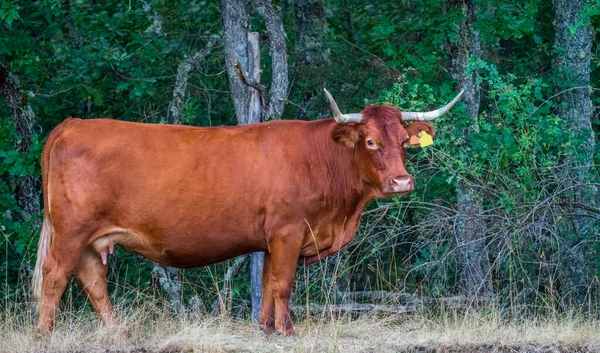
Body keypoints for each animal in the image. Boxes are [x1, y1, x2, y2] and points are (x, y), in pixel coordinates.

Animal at [32, 89, 464, 334]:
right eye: (370, 141)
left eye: (405, 141)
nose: (401, 183)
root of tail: (73, 123)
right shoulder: (289, 231)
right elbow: (283, 284)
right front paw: (288, 332)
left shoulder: (272, 239)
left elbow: (269, 284)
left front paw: (266, 329)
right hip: (72, 230)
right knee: (54, 277)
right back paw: (45, 335)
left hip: (92, 237)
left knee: (93, 280)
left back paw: (119, 333)